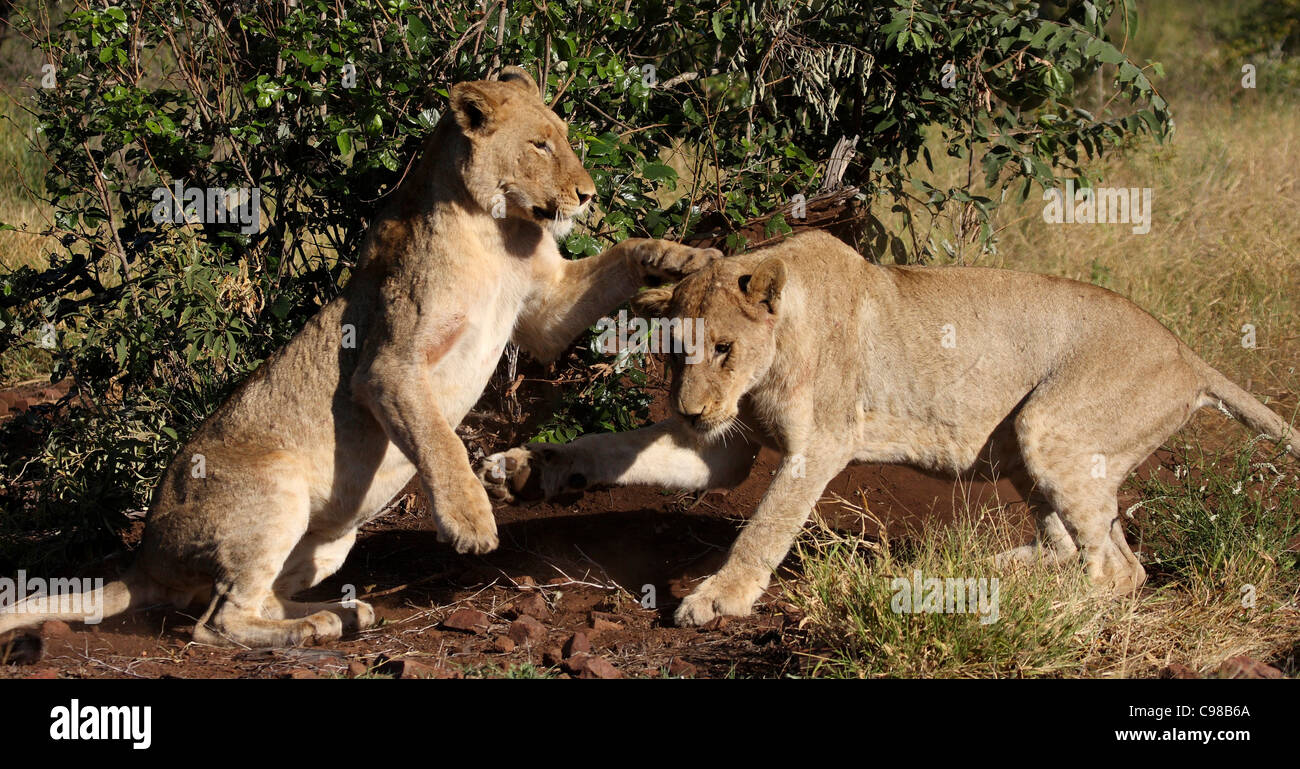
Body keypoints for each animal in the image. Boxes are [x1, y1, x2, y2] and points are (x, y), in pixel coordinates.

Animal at [0, 68, 718, 647]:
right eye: (540, 144)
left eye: (563, 137)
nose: (588, 193)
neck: (498, 229)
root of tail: (144, 555)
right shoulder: (388, 364)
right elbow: (439, 439)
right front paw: (470, 521)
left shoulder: (544, 309)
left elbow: (621, 256)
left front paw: (684, 256)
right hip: (273, 490)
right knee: (214, 622)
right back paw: (314, 627)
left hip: (332, 539)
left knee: (247, 600)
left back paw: (339, 611)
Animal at [480, 229, 1299, 627]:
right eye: (675, 351)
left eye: (724, 348)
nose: (689, 410)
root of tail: (1188, 353)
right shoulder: (726, 448)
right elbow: (615, 449)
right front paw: (526, 467)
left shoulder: (821, 443)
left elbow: (767, 524)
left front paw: (720, 597)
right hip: (1026, 445)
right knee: (1073, 544)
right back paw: (993, 574)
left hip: (1049, 423)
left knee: (1120, 571)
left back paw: (1038, 607)